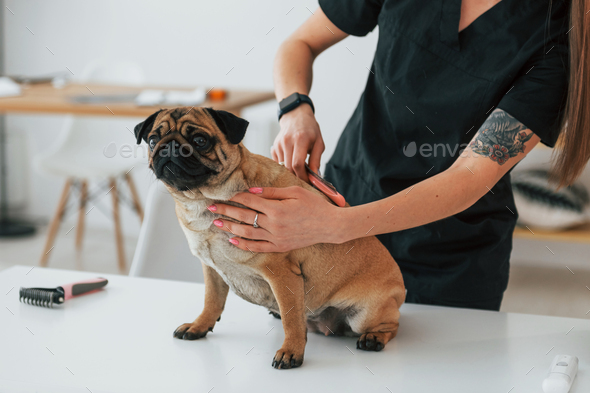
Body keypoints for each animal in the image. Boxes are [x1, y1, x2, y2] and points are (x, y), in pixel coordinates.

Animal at [135, 106, 408, 368]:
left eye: (200, 140)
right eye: (153, 140)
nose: (169, 146)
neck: (203, 199)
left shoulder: (281, 273)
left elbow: (291, 319)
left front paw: (291, 351)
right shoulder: (211, 269)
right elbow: (212, 300)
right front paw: (199, 325)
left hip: (367, 314)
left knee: (392, 326)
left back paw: (373, 338)